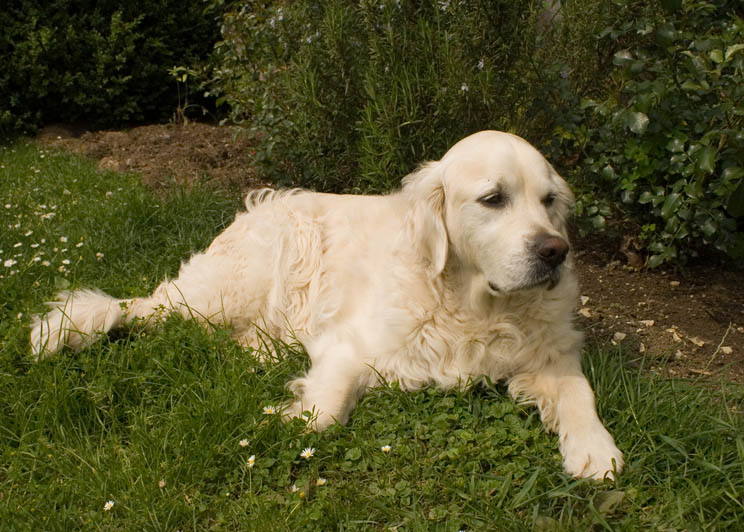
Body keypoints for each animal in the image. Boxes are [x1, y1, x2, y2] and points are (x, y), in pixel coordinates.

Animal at [30, 131, 620, 480]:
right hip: (220, 292)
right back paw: (66, 330)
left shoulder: (553, 355)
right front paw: (287, 415)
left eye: (549, 200)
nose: (555, 251)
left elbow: (579, 392)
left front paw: (595, 449)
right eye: (493, 198)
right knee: (139, 307)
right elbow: (326, 413)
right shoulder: (349, 343)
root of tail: (257, 207)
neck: (475, 306)